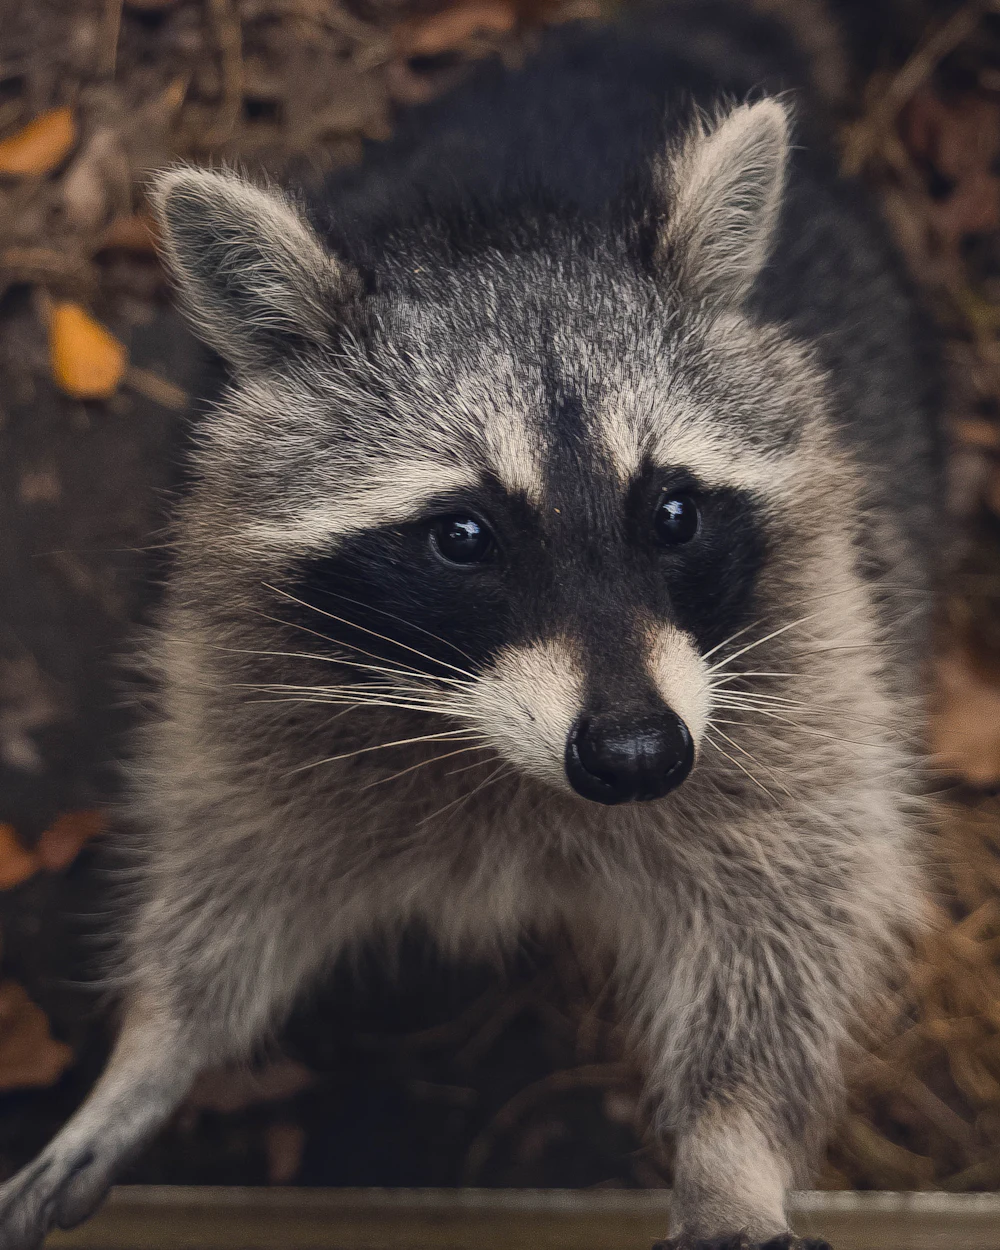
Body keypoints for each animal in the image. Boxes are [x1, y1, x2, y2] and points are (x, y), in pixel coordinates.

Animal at [0, 4, 939, 1247]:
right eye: (462, 535)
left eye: (673, 511)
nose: (637, 755)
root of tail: (655, 38)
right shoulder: (247, 661)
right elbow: (229, 852)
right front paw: (154, 1043)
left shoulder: (810, 650)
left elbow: (792, 898)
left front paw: (730, 1145)